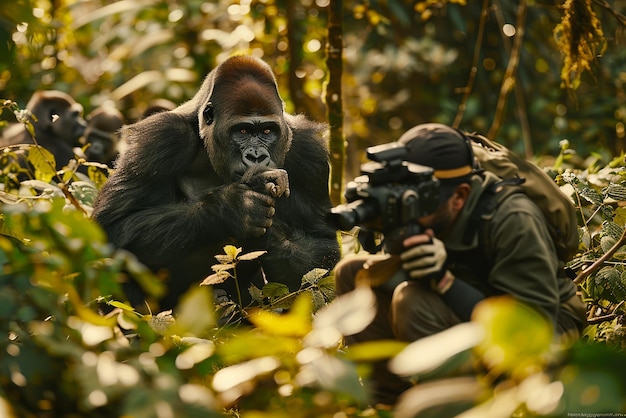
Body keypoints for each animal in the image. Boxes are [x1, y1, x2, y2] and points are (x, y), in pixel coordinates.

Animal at [91, 54, 338, 310]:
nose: (256, 157)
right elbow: (113, 226)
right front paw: (234, 208)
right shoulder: (161, 137)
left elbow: (324, 249)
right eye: (242, 131)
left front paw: (271, 236)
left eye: (267, 132)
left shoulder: (309, 152)